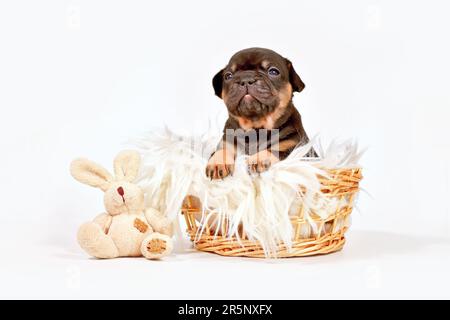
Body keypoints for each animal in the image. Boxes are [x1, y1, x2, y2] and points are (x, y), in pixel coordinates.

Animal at [207, 47, 314, 180]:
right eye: (228, 76)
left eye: (273, 71)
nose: (246, 79)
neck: (256, 127)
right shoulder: (227, 140)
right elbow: (222, 149)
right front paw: (217, 162)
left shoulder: (294, 143)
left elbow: (277, 148)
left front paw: (258, 159)